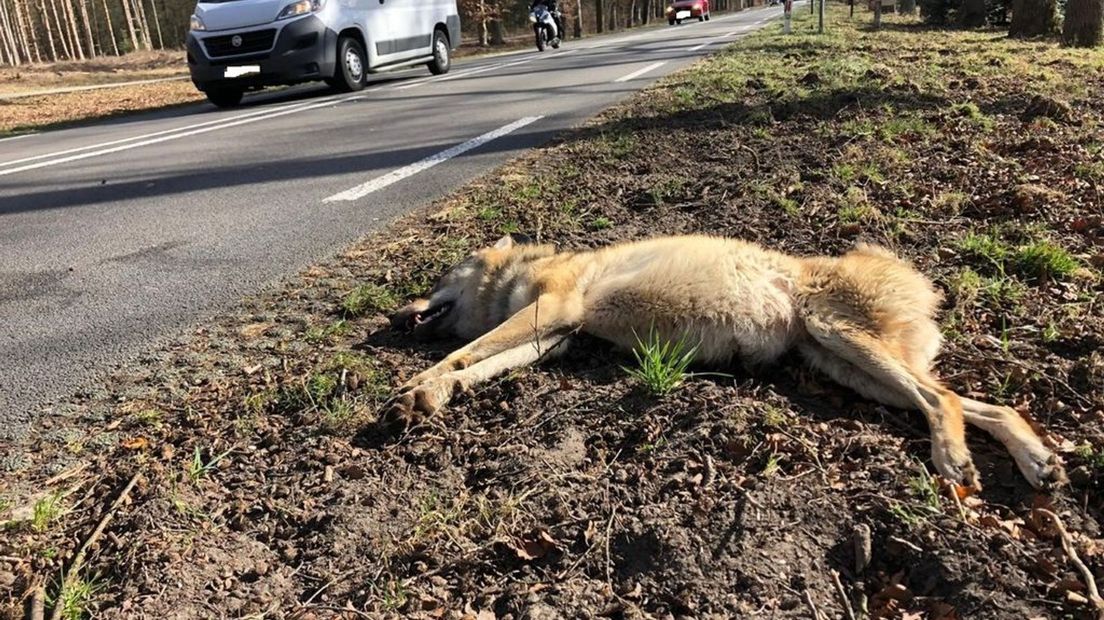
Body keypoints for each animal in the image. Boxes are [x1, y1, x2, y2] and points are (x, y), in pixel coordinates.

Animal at [388, 231, 1068, 487]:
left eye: (439, 277)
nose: (394, 313)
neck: (523, 274)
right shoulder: (549, 337)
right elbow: (474, 366)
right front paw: (431, 396)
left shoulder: (549, 314)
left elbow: (462, 353)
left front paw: (416, 384)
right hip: (849, 370)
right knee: (984, 406)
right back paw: (1038, 462)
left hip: (843, 345)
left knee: (942, 398)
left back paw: (954, 461)